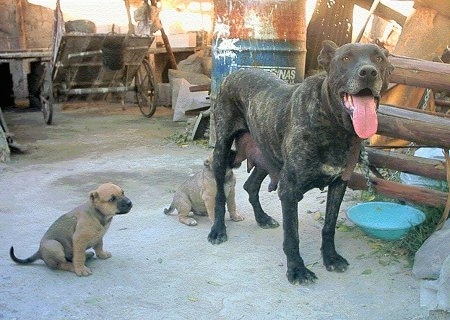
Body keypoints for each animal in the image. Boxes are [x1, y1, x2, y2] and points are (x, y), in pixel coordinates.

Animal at [209, 40, 392, 284]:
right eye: (346, 58)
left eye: (379, 58)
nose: (369, 72)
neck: (334, 124)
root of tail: (235, 72)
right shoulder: (289, 189)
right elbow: (292, 235)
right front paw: (297, 268)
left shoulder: (339, 184)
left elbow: (329, 226)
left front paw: (330, 257)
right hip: (221, 150)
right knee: (220, 194)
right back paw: (218, 230)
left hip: (268, 155)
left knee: (251, 185)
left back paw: (262, 218)